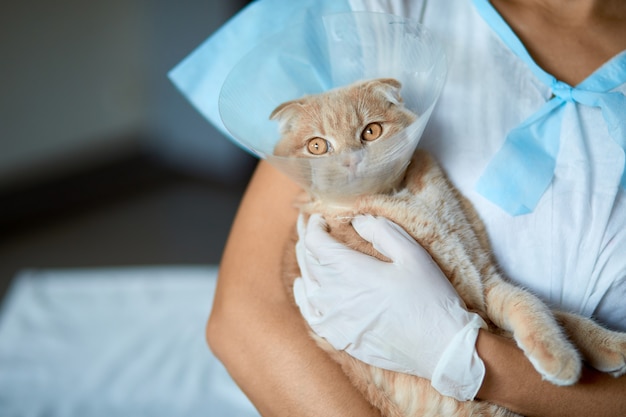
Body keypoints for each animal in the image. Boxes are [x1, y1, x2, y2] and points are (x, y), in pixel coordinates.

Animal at [268, 79, 624, 416]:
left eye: (371, 131)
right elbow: (540, 313)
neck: (405, 199)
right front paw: (563, 359)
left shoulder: (486, 278)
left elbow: (539, 307)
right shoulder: (475, 306)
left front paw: (606, 345)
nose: (350, 161)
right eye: (317, 146)